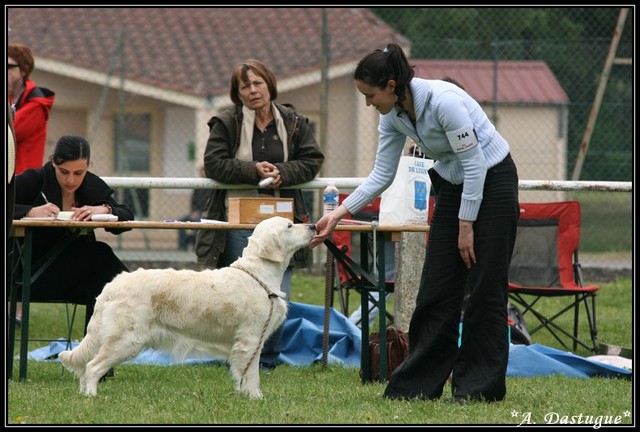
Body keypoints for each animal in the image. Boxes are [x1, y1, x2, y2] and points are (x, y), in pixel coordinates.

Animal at [60, 218, 316, 400]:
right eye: (290, 225)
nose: (313, 225)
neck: (259, 274)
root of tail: (111, 285)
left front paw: (247, 396)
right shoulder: (251, 339)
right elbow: (251, 374)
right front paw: (256, 398)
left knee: (84, 368)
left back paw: (84, 395)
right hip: (126, 341)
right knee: (92, 367)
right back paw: (92, 396)